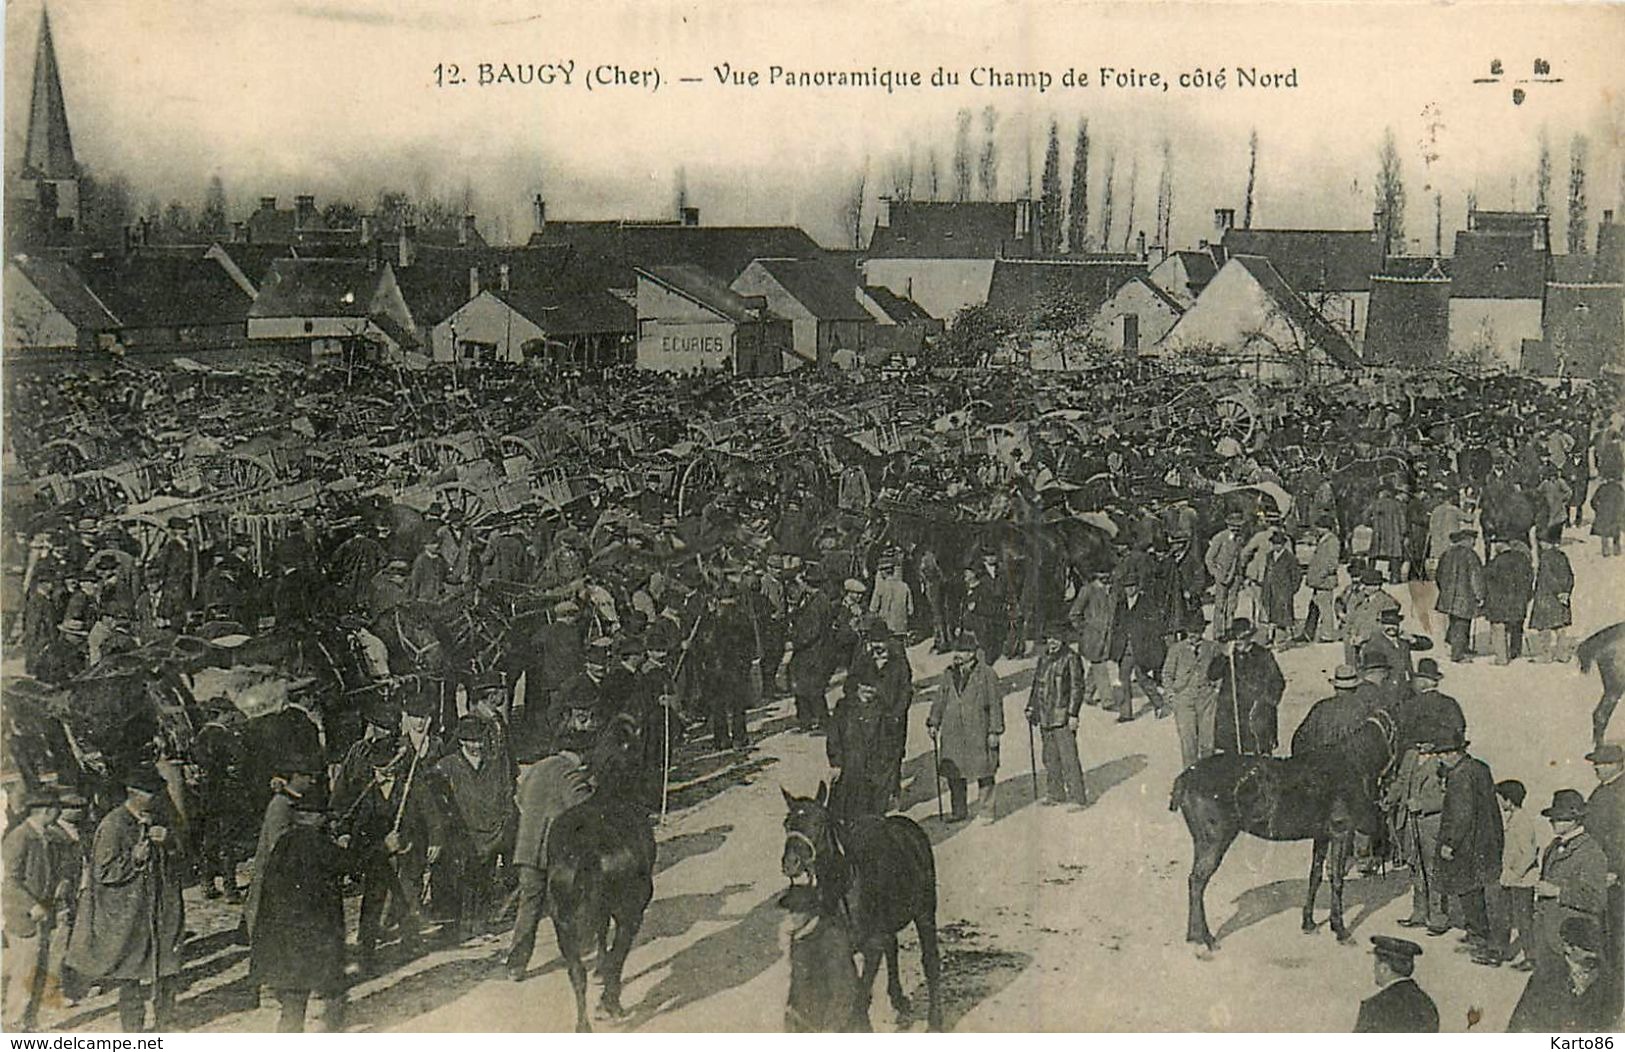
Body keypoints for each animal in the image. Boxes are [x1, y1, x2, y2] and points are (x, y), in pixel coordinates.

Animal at [542, 712, 650, 1034]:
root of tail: (588, 846)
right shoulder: (633, 906)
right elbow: (614, 952)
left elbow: (601, 935)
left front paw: (599, 970)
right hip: (629, 909)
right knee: (619, 953)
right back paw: (610, 1005)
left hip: (562, 921)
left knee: (576, 972)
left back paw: (583, 1025)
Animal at [773, 786, 942, 1034]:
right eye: (787, 824)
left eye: (818, 822)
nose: (790, 863)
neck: (843, 886)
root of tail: (904, 825)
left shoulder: (871, 946)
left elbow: (860, 996)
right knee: (891, 946)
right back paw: (898, 999)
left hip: (924, 910)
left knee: (929, 958)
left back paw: (934, 1020)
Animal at [1170, 702, 1423, 949]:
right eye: (1408, 722)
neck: (1356, 760)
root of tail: (1184, 779)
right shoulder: (1342, 831)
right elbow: (1336, 879)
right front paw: (1340, 930)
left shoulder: (1322, 834)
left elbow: (1315, 875)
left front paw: (1309, 922)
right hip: (1214, 839)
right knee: (1198, 881)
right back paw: (1206, 938)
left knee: (1193, 880)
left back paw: (1194, 935)